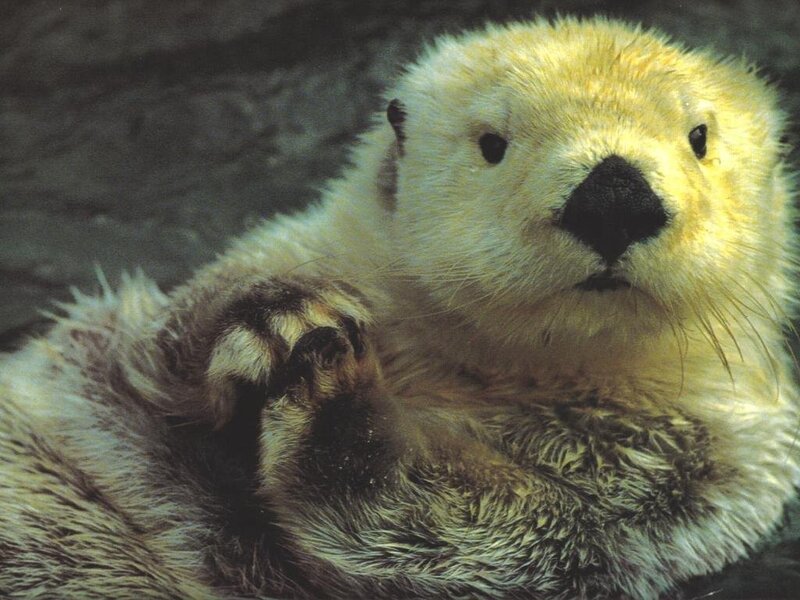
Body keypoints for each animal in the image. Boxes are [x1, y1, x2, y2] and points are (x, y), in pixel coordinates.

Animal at [1, 16, 797, 600]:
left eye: (699, 137)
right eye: (492, 143)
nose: (615, 195)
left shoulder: (689, 481)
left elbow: (473, 530)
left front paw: (335, 394)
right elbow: (154, 347)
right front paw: (277, 316)